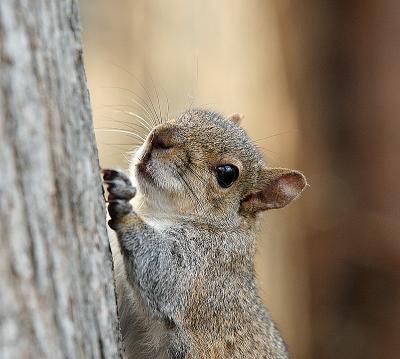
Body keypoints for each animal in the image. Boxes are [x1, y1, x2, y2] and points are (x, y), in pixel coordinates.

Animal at [102, 109, 306, 359]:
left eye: (227, 174)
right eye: (195, 113)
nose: (160, 136)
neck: (153, 211)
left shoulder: (204, 269)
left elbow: (162, 270)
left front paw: (125, 206)